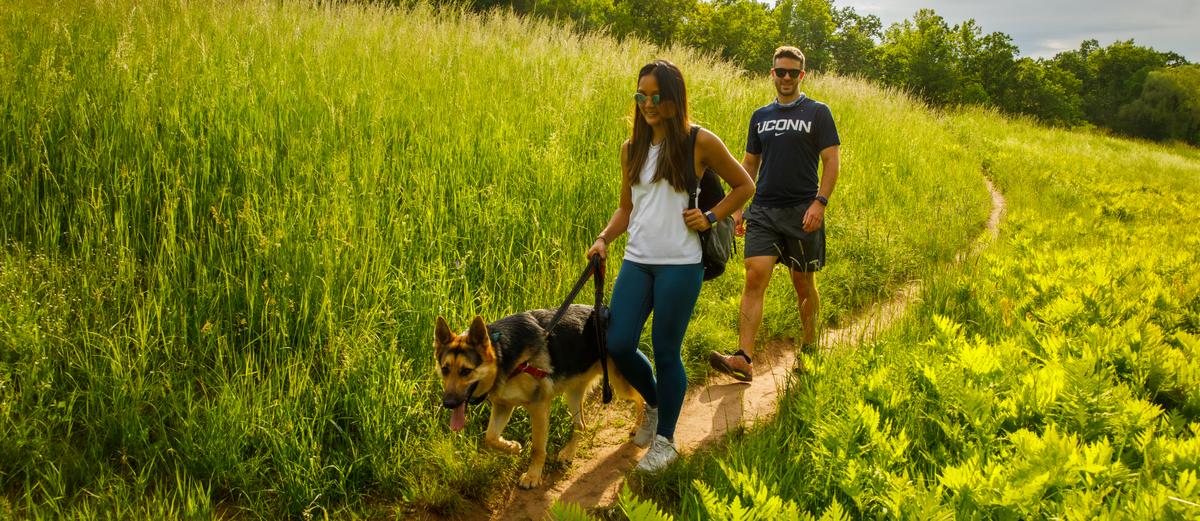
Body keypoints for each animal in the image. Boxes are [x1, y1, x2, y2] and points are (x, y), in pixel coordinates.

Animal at [436, 304, 643, 487]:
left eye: (465, 371)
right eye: (445, 369)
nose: (447, 403)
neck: (503, 354)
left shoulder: (539, 408)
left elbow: (537, 449)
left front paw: (532, 476)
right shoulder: (503, 406)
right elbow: (490, 437)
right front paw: (512, 447)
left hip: (621, 384)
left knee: (643, 398)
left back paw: (640, 428)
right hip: (573, 394)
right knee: (581, 425)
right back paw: (568, 453)